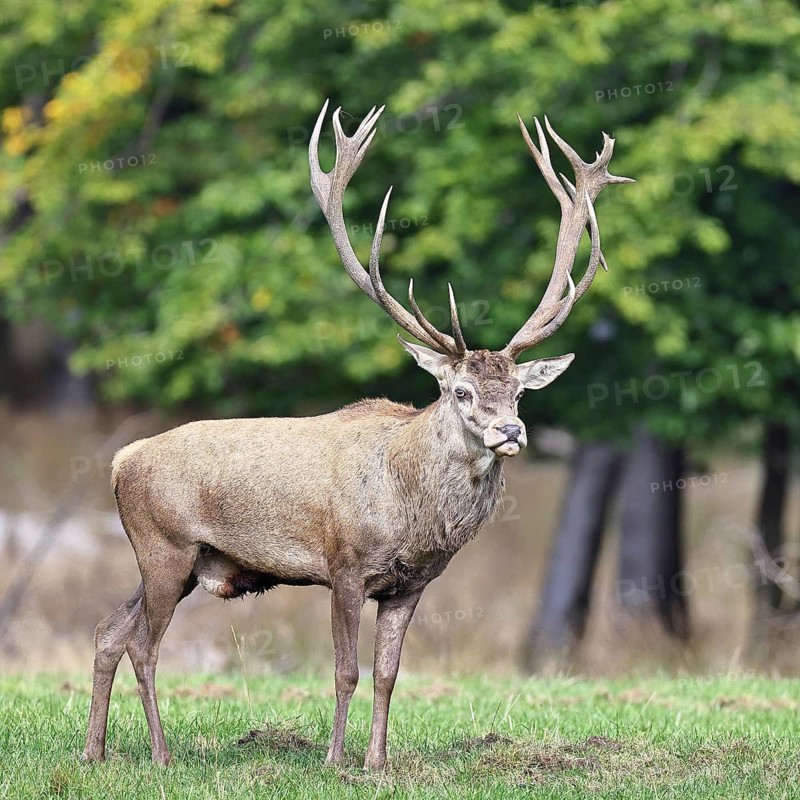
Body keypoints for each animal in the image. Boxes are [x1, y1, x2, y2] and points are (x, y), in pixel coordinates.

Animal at [82, 99, 633, 771]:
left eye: (520, 392)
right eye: (460, 391)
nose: (511, 430)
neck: (410, 509)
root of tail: (120, 460)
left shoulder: (409, 585)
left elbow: (388, 674)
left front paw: (377, 763)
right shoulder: (343, 565)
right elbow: (345, 670)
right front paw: (334, 760)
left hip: (180, 562)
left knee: (108, 632)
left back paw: (94, 752)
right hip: (165, 547)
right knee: (143, 645)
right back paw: (160, 755)